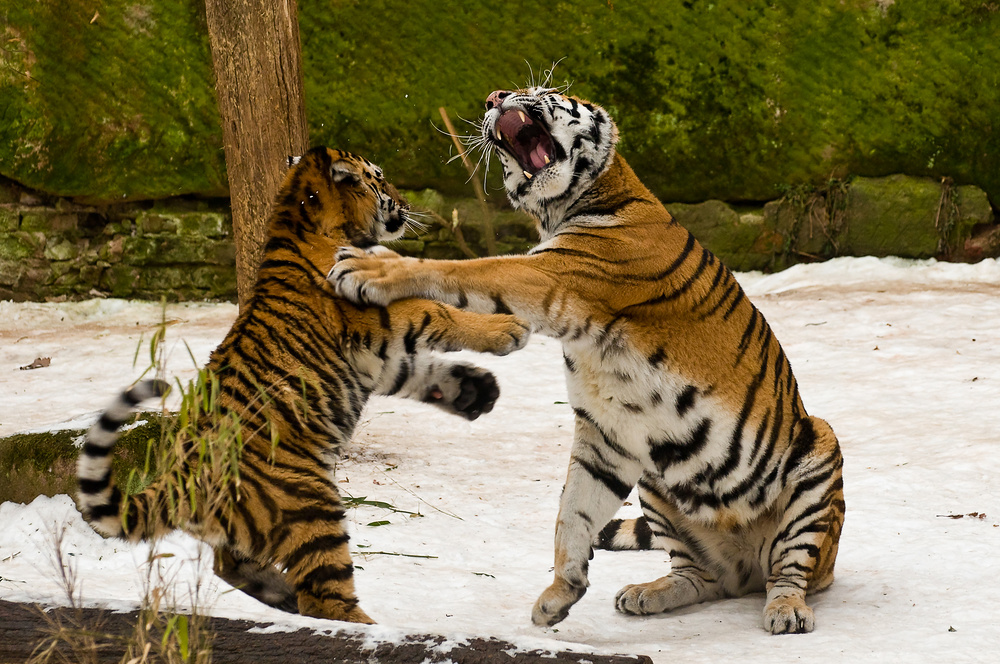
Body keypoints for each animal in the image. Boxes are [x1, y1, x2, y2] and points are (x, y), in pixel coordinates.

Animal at [76, 145, 532, 624]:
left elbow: (420, 371)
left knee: (231, 565)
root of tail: (183, 476)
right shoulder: (378, 317)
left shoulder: (375, 357)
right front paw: (507, 329)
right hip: (312, 505)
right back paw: (365, 627)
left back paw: (282, 596)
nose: (407, 203)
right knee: (325, 596)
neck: (298, 218)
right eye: (379, 178)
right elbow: (439, 312)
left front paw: (477, 390)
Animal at [332, 88, 848, 632]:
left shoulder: (552, 274)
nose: (495, 96)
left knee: (790, 570)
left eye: (545, 92)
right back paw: (648, 593)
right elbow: (572, 513)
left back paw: (786, 610)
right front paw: (560, 594)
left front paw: (368, 267)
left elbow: (468, 269)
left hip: (818, 457)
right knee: (702, 577)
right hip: (658, 483)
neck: (566, 208)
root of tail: (750, 567)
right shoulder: (608, 434)